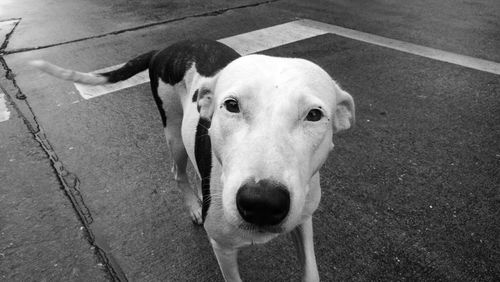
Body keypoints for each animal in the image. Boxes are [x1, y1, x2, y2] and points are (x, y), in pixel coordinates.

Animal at [29, 38, 356, 282]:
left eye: (314, 114)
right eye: (231, 105)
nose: (262, 203)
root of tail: (165, 49)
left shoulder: (304, 219)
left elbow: (310, 270)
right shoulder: (223, 247)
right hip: (174, 135)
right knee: (178, 172)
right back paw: (194, 205)